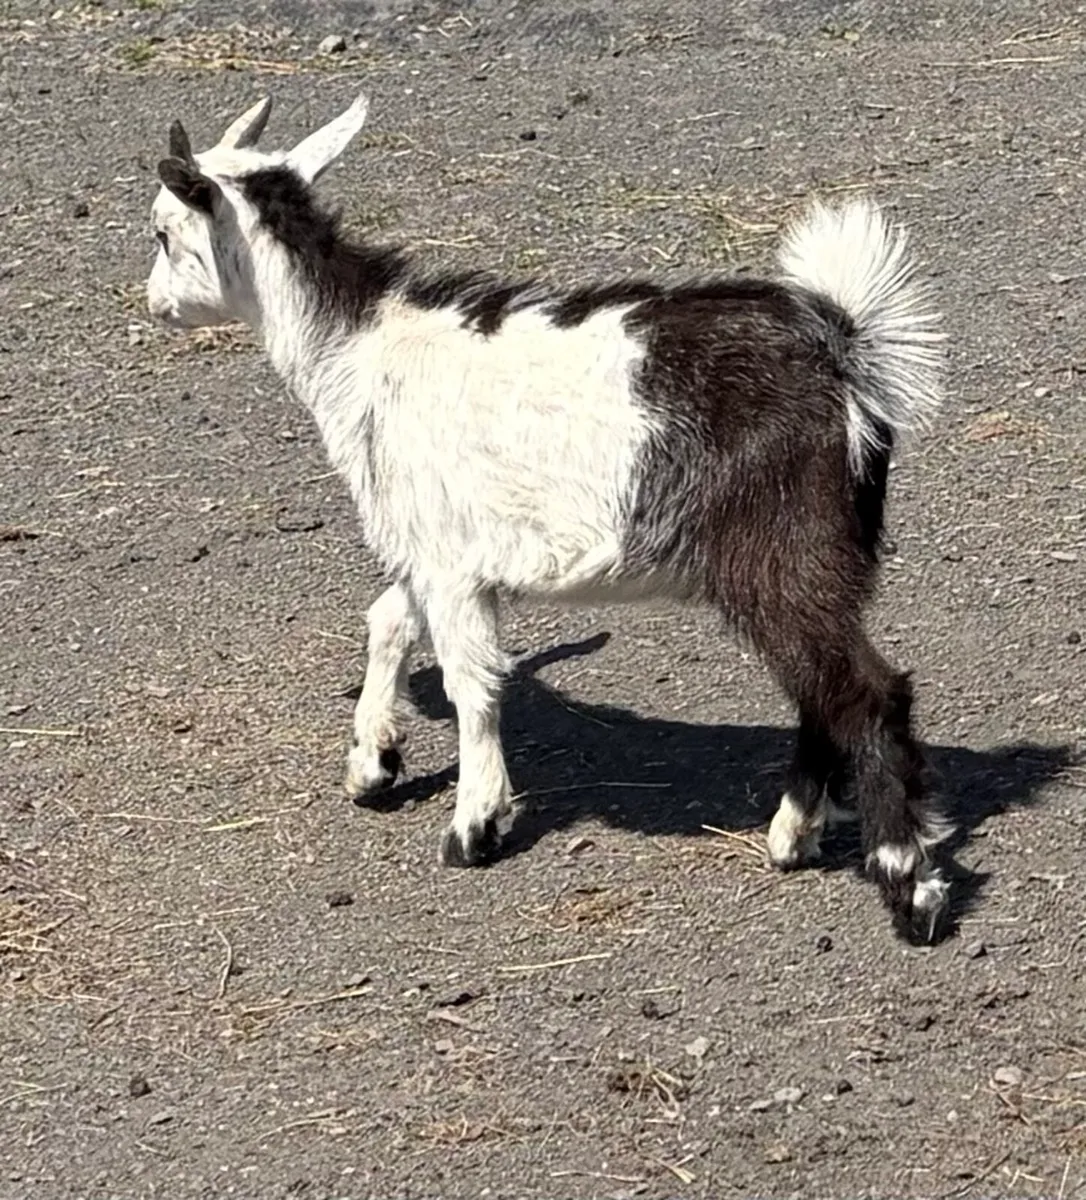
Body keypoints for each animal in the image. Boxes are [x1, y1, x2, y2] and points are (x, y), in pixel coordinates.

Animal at [146, 94, 952, 943]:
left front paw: (474, 826)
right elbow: (388, 621)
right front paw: (373, 763)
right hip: (816, 559)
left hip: (787, 546)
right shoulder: (431, 549)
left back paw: (910, 886)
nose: (154, 303)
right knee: (819, 686)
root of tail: (845, 353)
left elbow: (472, 683)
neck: (358, 351)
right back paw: (793, 834)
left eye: (162, 231)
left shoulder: (451, 566)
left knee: (864, 692)